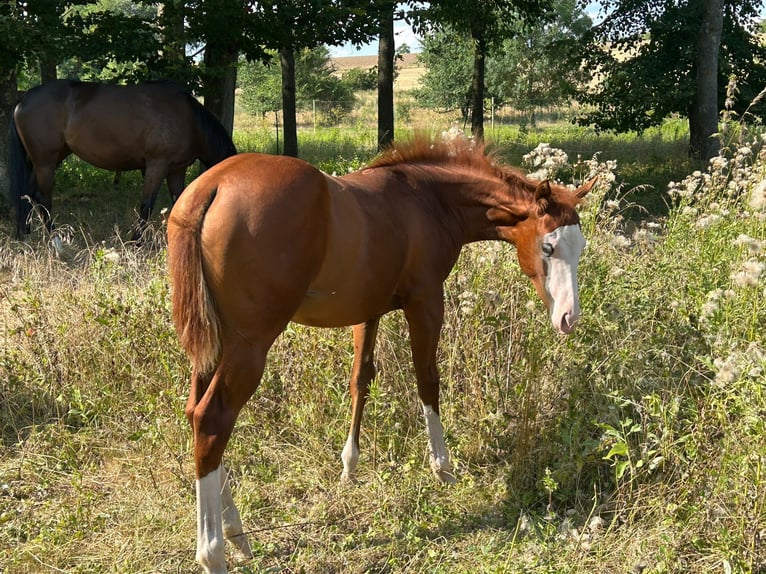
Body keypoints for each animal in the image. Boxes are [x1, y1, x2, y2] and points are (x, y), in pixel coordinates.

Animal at [8, 80, 237, 237]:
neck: (189, 120)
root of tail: (23, 99)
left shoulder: (176, 170)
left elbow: (180, 203)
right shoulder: (157, 165)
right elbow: (146, 206)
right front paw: (136, 241)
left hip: (47, 159)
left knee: (29, 195)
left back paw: (25, 233)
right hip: (45, 162)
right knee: (43, 197)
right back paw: (55, 239)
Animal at [168, 137, 596, 572]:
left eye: (580, 246)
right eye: (548, 246)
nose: (569, 317)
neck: (426, 199)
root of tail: (212, 186)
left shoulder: (367, 310)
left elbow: (361, 378)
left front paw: (349, 466)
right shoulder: (426, 301)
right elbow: (427, 379)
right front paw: (442, 468)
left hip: (214, 343)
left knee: (194, 413)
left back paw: (236, 533)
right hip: (250, 343)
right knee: (212, 419)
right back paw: (213, 551)